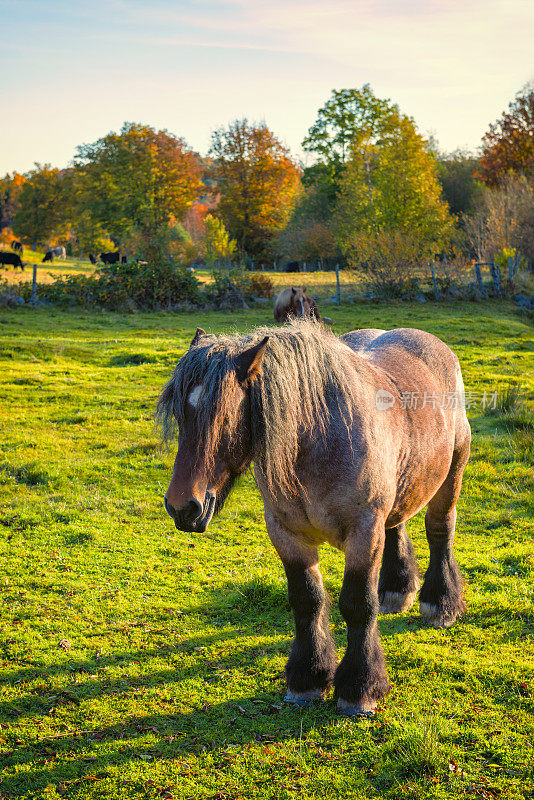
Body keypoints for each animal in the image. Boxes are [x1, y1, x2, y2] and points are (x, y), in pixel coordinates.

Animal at [158, 318, 474, 720]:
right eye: (180, 415)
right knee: (397, 525)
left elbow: (358, 605)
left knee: (439, 532)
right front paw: (307, 679)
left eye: (223, 415)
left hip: (452, 474)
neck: (316, 442)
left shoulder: (363, 532)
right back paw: (396, 589)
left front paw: (359, 687)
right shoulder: (287, 534)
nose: (182, 508)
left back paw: (441, 604)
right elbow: (307, 601)